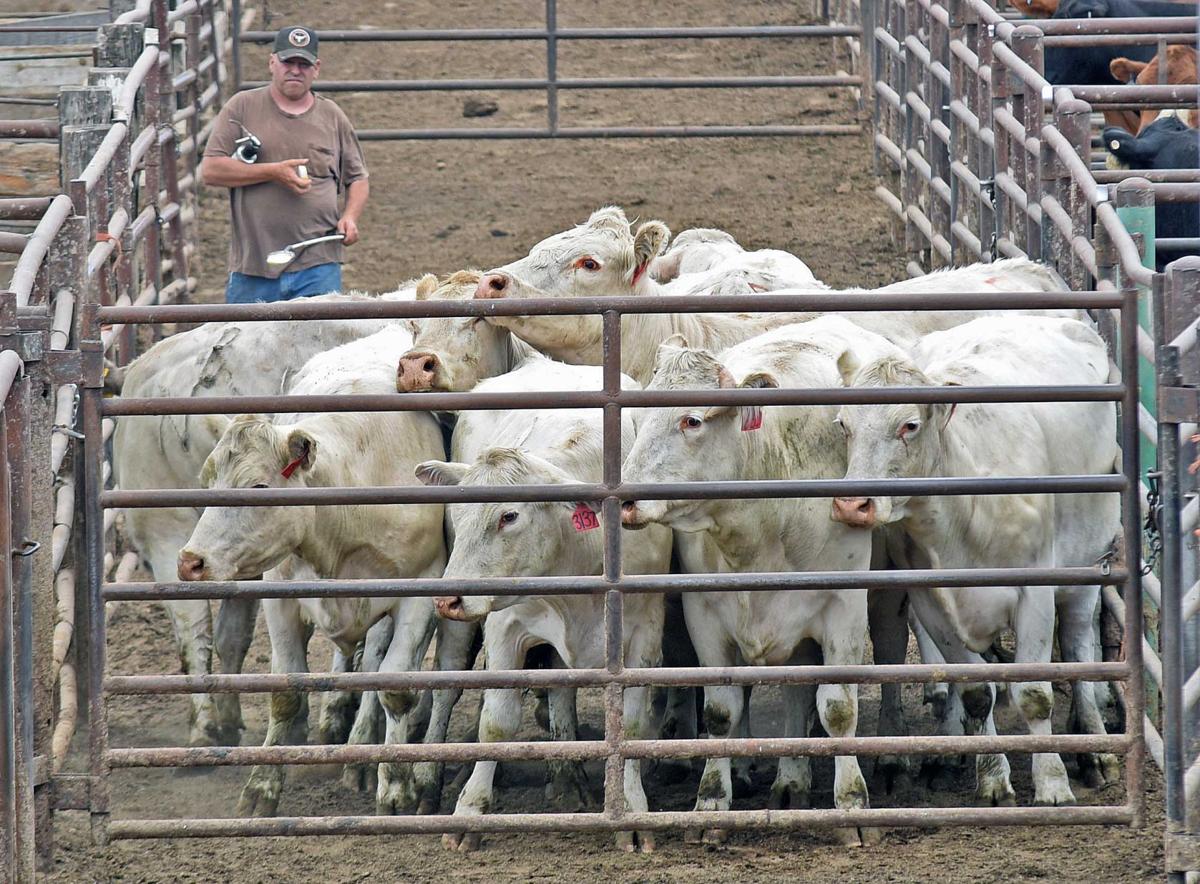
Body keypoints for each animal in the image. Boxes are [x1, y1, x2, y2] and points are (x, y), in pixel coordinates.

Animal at [176, 324, 468, 817]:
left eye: (259, 486)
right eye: (207, 480)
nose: (190, 561)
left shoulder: (421, 594)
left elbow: (394, 687)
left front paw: (396, 788)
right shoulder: (281, 596)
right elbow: (286, 692)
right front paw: (262, 787)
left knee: (374, 660)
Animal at [416, 358, 673, 853]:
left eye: (509, 515)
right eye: (461, 509)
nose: (448, 595)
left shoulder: (644, 635)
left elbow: (631, 726)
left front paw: (632, 811)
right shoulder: (505, 627)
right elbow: (496, 722)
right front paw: (469, 812)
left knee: (560, 689)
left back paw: (567, 774)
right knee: (447, 686)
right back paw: (425, 782)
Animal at [619, 316, 907, 847]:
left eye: (691, 420)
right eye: (641, 413)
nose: (626, 500)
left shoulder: (843, 608)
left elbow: (839, 709)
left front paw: (852, 806)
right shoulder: (704, 612)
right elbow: (721, 710)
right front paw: (712, 803)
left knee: (887, 653)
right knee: (793, 692)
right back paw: (790, 781)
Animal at [831, 315, 1122, 805]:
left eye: (909, 425)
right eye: (843, 425)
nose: (853, 506)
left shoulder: (1035, 592)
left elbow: (1035, 693)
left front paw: (1052, 783)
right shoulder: (931, 602)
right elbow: (975, 692)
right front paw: (993, 778)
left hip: (1086, 563)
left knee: (1079, 646)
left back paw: (1093, 746)